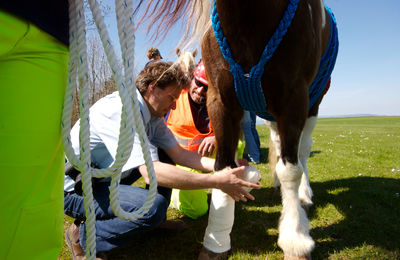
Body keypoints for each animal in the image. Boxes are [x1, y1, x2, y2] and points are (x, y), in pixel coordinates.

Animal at [137, 1, 338, 258]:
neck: (247, 18)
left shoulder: (294, 97)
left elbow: (291, 170)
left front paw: (295, 239)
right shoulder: (219, 98)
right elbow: (223, 167)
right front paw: (216, 243)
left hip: (313, 102)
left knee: (302, 151)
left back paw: (303, 194)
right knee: (278, 142)